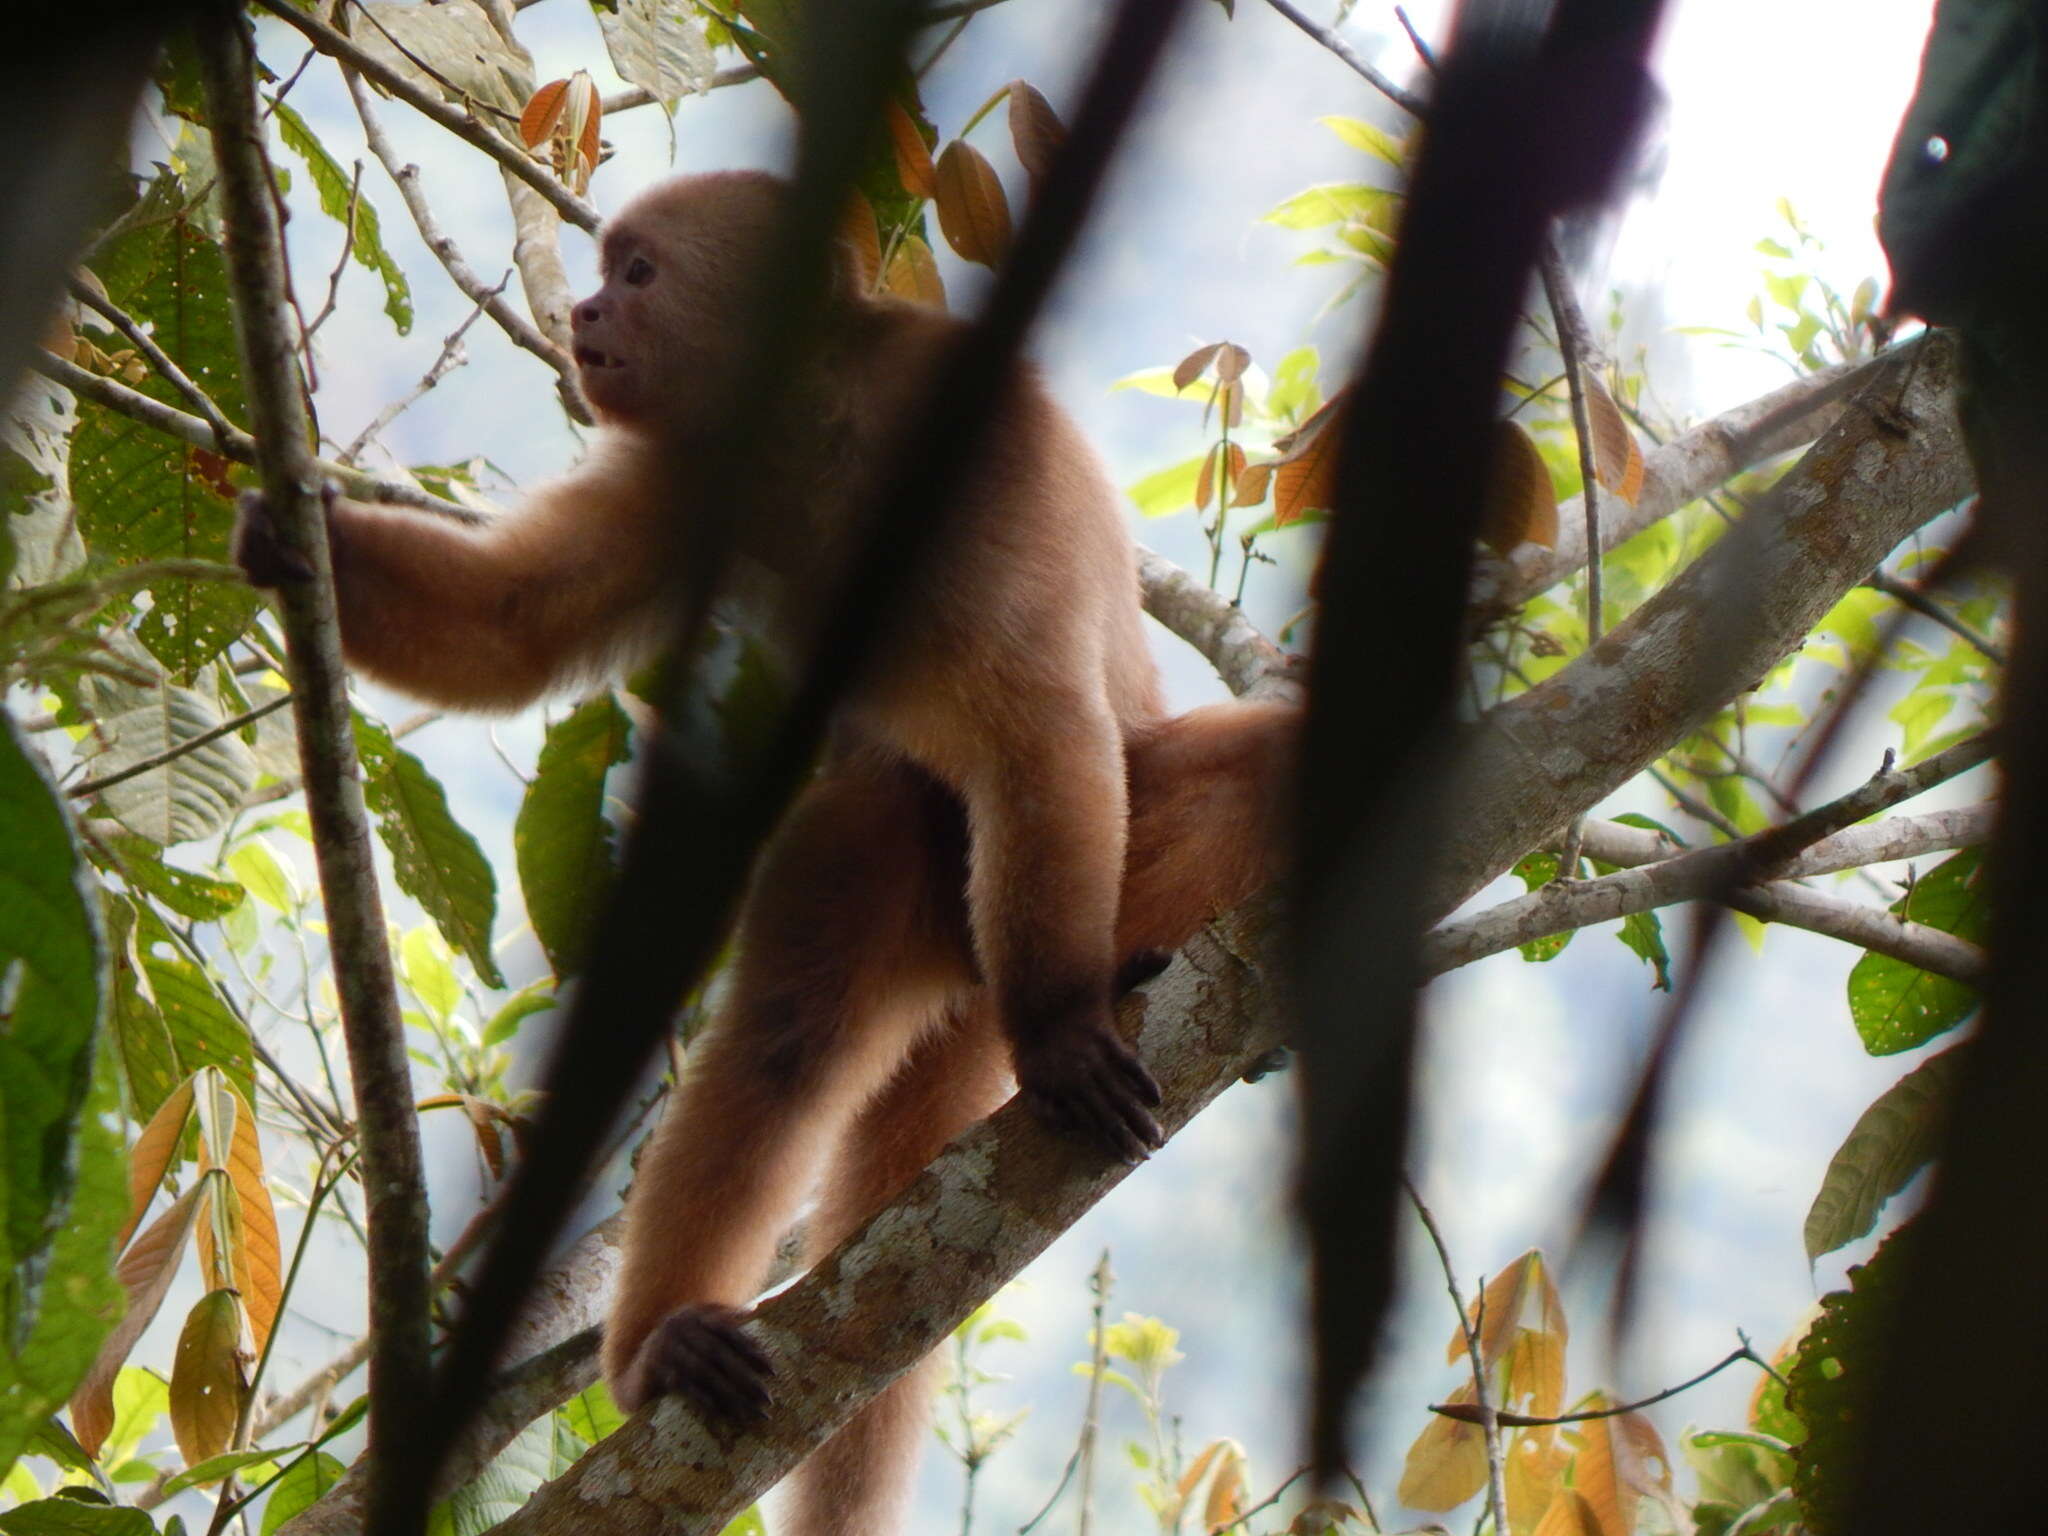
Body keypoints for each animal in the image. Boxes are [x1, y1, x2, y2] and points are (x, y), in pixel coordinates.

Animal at [235, 167, 1294, 1536]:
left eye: (636, 274)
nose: (585, 309)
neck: (811, 423)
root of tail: (977, 975)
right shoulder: (690, 468)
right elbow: (515, 627)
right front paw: (289, 539)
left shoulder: (964, 436)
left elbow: (1040, 721)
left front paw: (1063, 1027)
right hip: (902, 879)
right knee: (785, 1039)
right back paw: (664, 1346)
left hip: (1091, 879)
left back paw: (1103, 996)